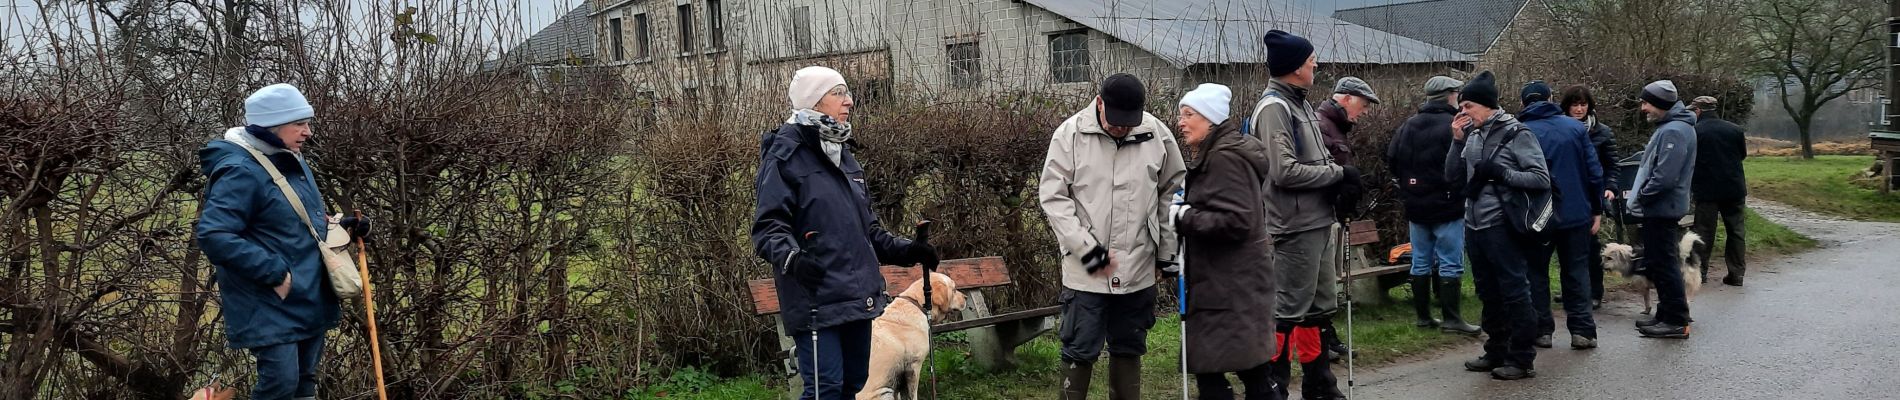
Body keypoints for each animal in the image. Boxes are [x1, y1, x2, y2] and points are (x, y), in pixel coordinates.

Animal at [858, 271, 965, 400]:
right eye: (954, 289)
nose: (966, 297)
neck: (917, 305)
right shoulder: (914, 366)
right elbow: (913, 394)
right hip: (883, 392)